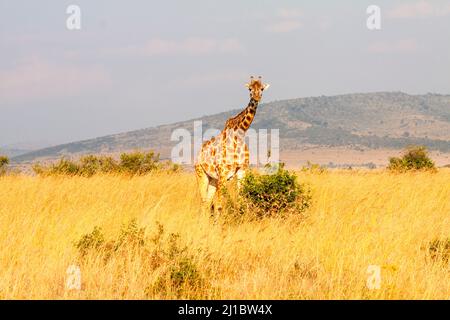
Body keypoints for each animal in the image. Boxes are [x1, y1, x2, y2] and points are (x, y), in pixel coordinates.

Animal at [194, 76, 270, 214]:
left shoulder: (242, 171)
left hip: (213, 179)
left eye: (261, 88)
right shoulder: (223, 173)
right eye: (250, 89)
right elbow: (219, 206)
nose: (256, 97)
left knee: (207, 203)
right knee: (204, 203)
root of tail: (198, 154)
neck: (239, 133)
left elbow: (241, 201)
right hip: (201, 174)